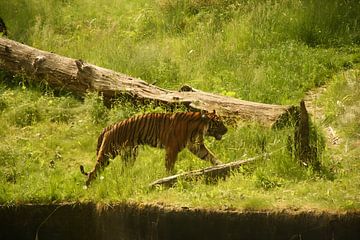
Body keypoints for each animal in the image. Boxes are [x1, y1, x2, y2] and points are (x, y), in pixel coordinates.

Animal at [81, 110, 228, 186]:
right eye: (218, 123)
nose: (227, 130)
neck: (199, 128)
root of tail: (109, 126)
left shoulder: (196, 146)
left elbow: (210, 156)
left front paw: (222, 165)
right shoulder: (172, 148)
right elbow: (169, 165)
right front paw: (169, 178)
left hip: (130, 154)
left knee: (124, 170)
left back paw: (126, 179)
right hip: (108, 154)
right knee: (94, 171)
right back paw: (87, 187)